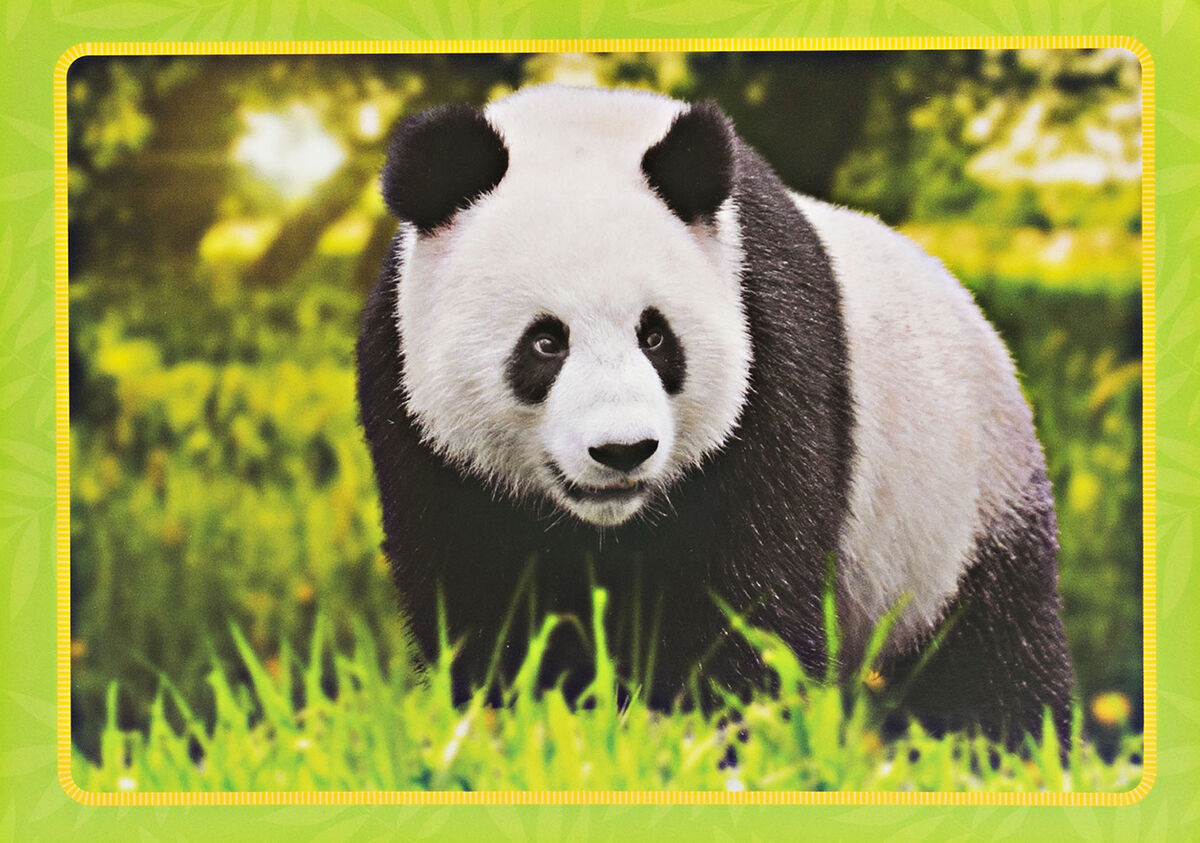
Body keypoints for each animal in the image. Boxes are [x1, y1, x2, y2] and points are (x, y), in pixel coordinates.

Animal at [356, 84, 1075, 743]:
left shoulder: (773, 360)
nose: (622, 450)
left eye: (655, 337)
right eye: (545, 342)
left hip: (961, 497)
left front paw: (716, 730)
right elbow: (478, 595)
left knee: (988, 649)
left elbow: (749, 592)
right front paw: (513, 716)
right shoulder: (414, 413)